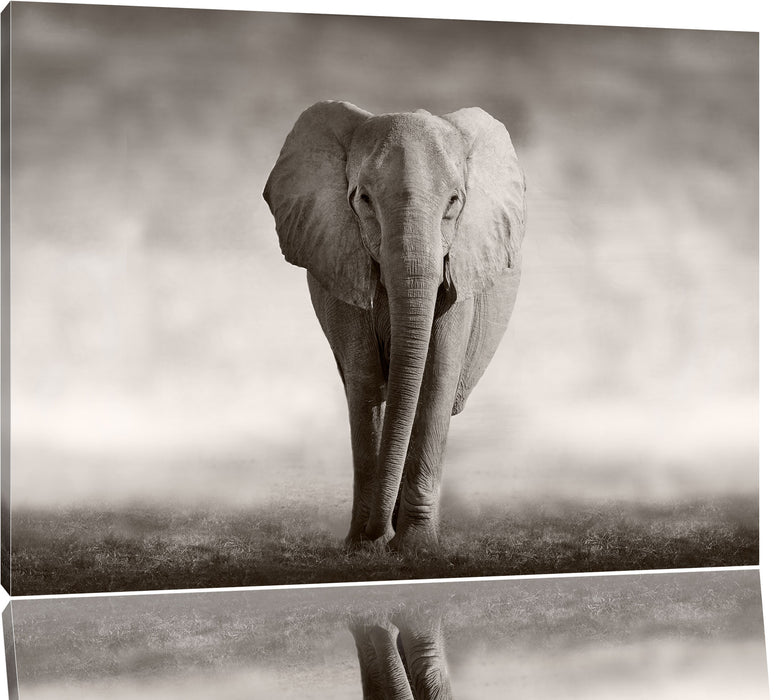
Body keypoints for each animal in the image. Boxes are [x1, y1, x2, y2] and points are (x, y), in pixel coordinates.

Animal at [264, 101, 525, 550]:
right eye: (364, 199)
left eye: (454, 202)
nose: (377, 535)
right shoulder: (340, 259)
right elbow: (365, 378)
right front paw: (364, 546)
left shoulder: (460, 268)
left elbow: (436, 378)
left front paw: (416, 547)